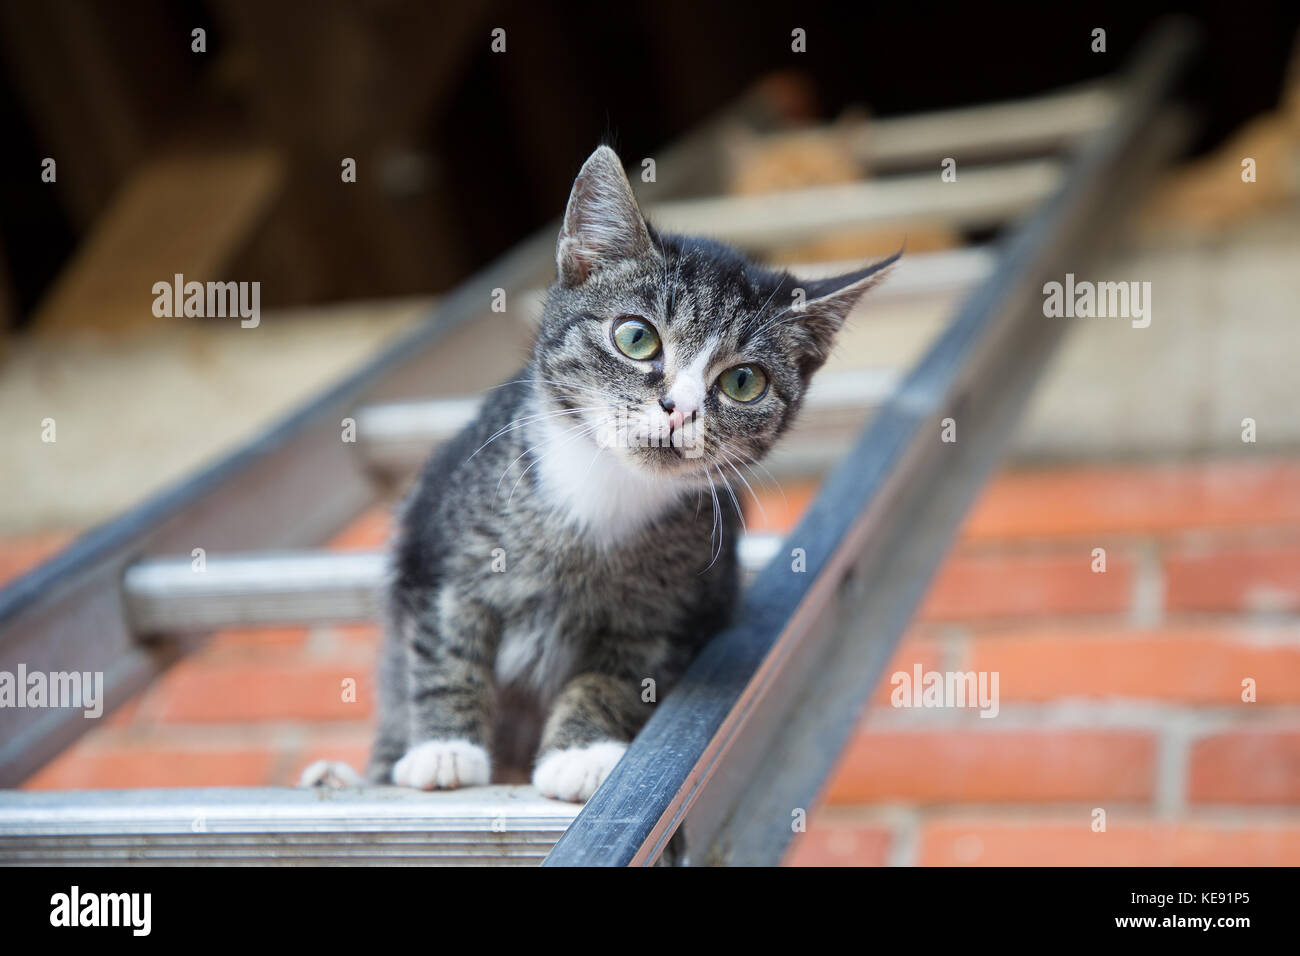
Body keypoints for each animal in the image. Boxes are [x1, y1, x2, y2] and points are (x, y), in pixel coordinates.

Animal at [305, 143, 894, 801]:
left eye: (744, 381)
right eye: (636, 338)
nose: (679, 409)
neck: (606, 489)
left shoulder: (668, 613)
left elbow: (616, 676)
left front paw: (580, 752)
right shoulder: (438, 546)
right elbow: (446, 646)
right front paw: (445, 748)